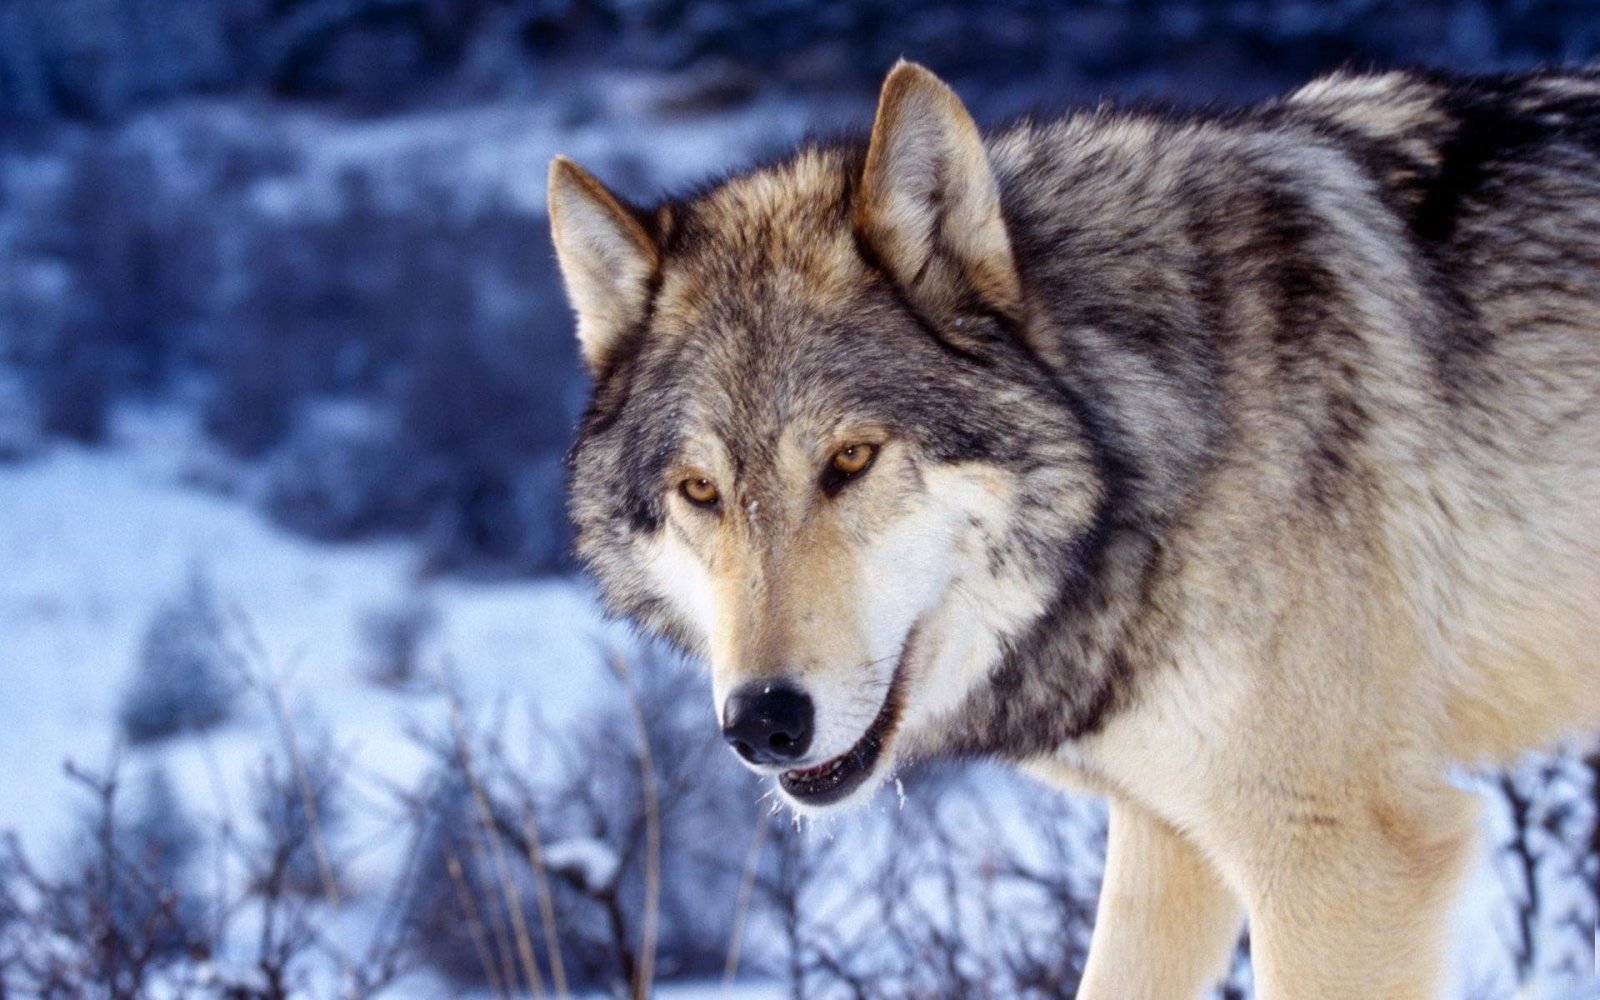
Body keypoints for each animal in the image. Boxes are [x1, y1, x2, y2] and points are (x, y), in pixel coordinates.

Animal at [550, 62, 1600, 998]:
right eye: (700, 490)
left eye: (850, 459)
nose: (763, 722)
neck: (1148, 442)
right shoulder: (1170, 841)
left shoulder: (1342, 860)